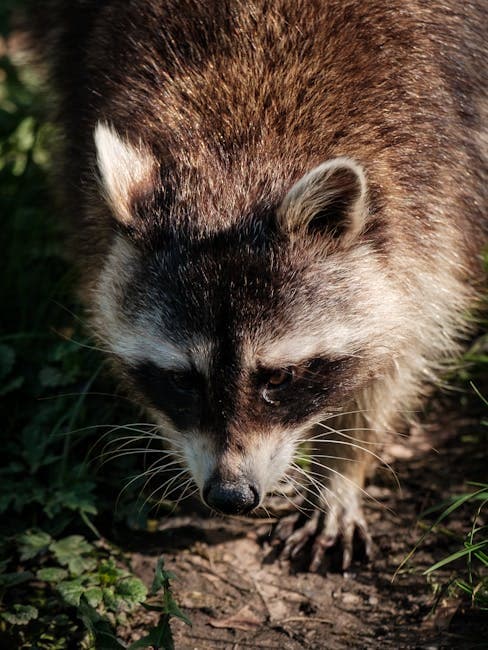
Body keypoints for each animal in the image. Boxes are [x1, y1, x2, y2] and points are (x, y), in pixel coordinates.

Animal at [29, 0, 487, 569]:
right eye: (182, 379)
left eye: (281, 377)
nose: (230, 495)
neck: (240, 146)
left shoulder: (437, 177)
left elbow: (404, 340)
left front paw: (343, 465)